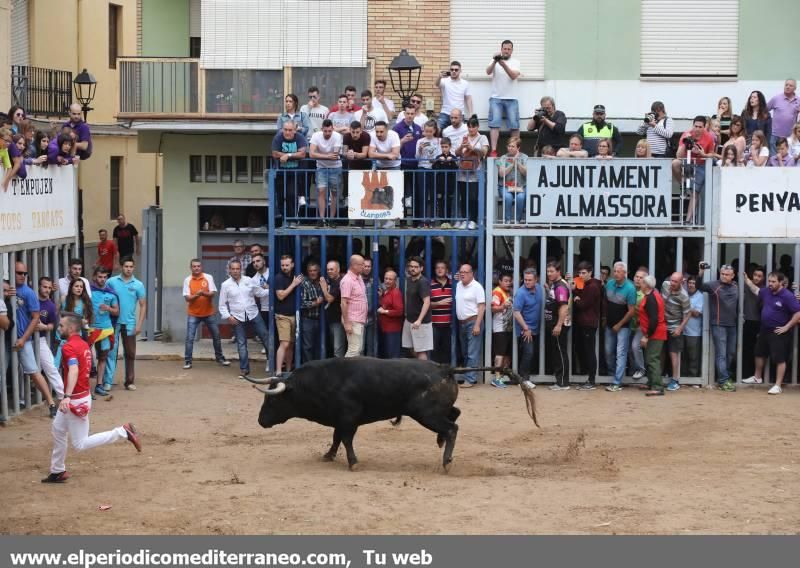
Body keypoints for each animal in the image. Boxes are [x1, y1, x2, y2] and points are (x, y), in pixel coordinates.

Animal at [244, 360, 536, 470]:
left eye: (272, 399)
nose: (260, 421)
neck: (323, 381)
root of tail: (445, 368)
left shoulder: (348, 418)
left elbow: (345, 439)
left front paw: (353, 462)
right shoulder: (341, 419)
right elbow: (336, 438)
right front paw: (328, 455)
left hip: (425, 414)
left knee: (452, 427)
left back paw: (446, 460)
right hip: (433, 411)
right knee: (455, 415)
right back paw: (440, 442)